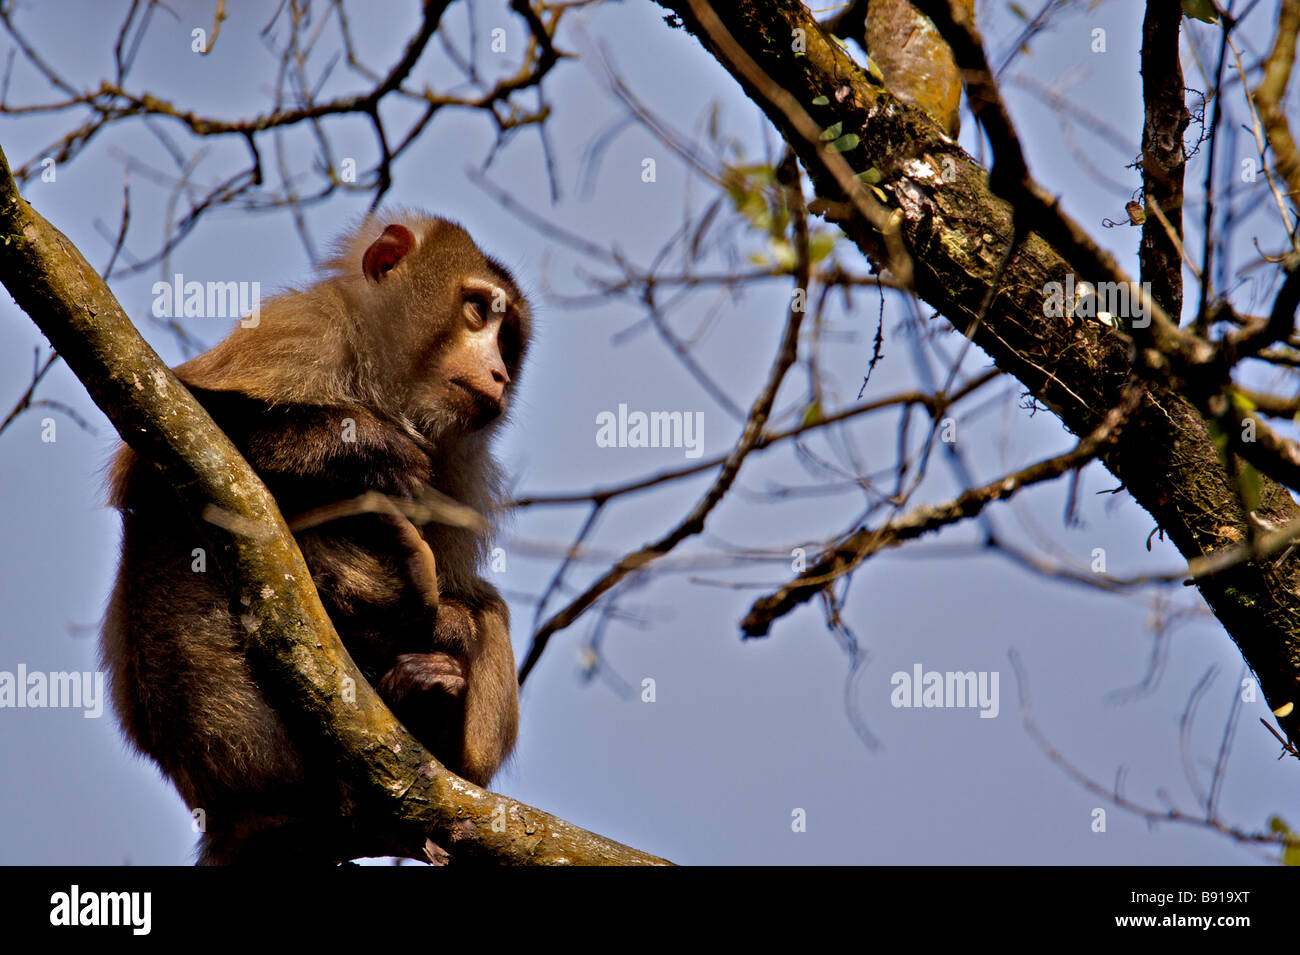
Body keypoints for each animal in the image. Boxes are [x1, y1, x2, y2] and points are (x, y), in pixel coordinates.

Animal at [100, 210, 527, 867]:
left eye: (510, 342)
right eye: (478, 311)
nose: (500, 374)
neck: (382, 388)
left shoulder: (458, 464)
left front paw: (444, 632)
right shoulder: (302, 331)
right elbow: (157, 431)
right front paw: (353, 447)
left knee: (485, 607)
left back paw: (428, 696)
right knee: (171, 518)